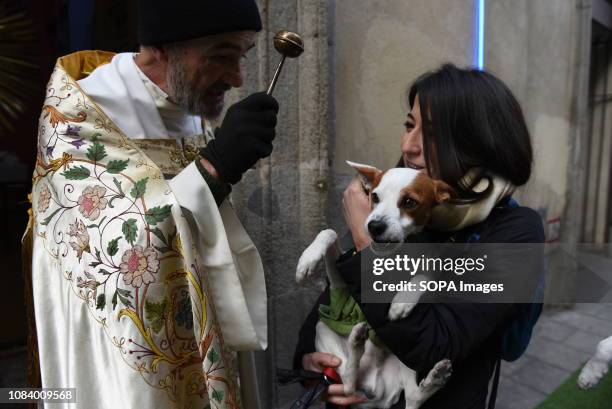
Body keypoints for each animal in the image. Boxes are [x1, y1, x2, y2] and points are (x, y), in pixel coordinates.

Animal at [296, 161, 454, 408]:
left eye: (409, 202)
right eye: (375, 197)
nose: (374, 226)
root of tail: (374, 393)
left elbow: (425, 275)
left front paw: (402, 301)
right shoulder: (340, 288)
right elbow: (329, 232)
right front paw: (308, 259)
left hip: (405, 355)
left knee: (411, 397)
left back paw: (433, 379)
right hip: (323, 328)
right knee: (348, 381)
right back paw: (357, 341)